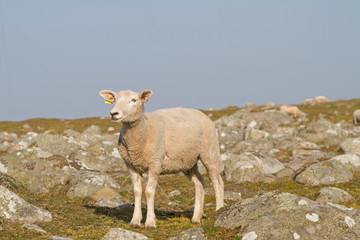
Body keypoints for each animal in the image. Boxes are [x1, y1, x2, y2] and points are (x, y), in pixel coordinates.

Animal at [98, 89, 222, 228]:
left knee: (217, 181)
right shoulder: (130, 165)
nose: (114, 113)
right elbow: (137, 191)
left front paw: (150, 222)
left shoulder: (155, 162)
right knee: (200, 182)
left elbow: (149, 192)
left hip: (210, 152)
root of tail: (201, 113)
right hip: (188, 162)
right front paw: (135, 221)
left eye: (134, 100)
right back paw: (196, 217)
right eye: (114, 99)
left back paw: (219, 210)